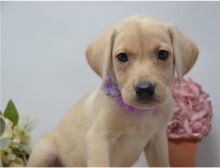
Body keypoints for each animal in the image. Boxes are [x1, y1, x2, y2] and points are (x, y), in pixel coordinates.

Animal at [27, 15, 199, 167]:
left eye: (163, 54)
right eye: (122, 57)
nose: (144, 89)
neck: (140, 114)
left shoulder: (157, 140)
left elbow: (162, 163)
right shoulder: (99, 138)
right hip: (45, 149)